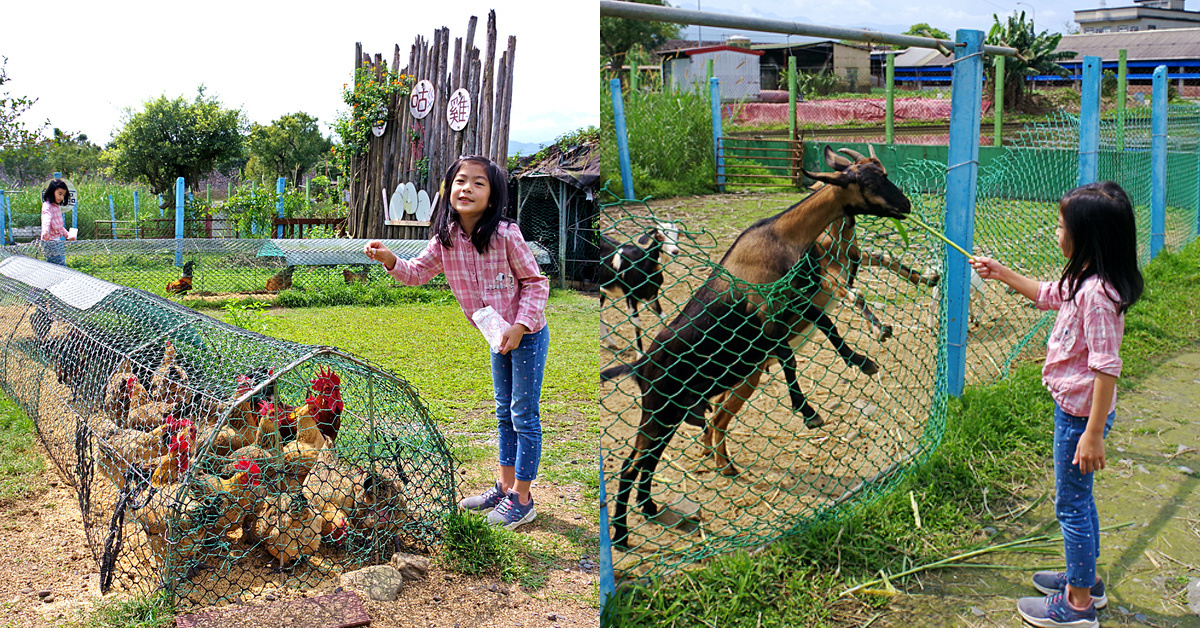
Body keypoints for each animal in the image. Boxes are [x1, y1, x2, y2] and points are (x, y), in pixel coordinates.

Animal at [604, 147, 912, 549]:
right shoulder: (769, 314)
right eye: (870, 183)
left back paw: (650, 507)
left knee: (649, 460)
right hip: (658, 410)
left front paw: (859, 361)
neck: (782, 238)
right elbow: (790, 356)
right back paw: (622, 534)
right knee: (631, 463)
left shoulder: (795, 301)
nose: (906, 204)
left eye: (884, 174)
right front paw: (809, 410)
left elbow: (825, 327)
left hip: (673, 413)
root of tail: (639, 368)